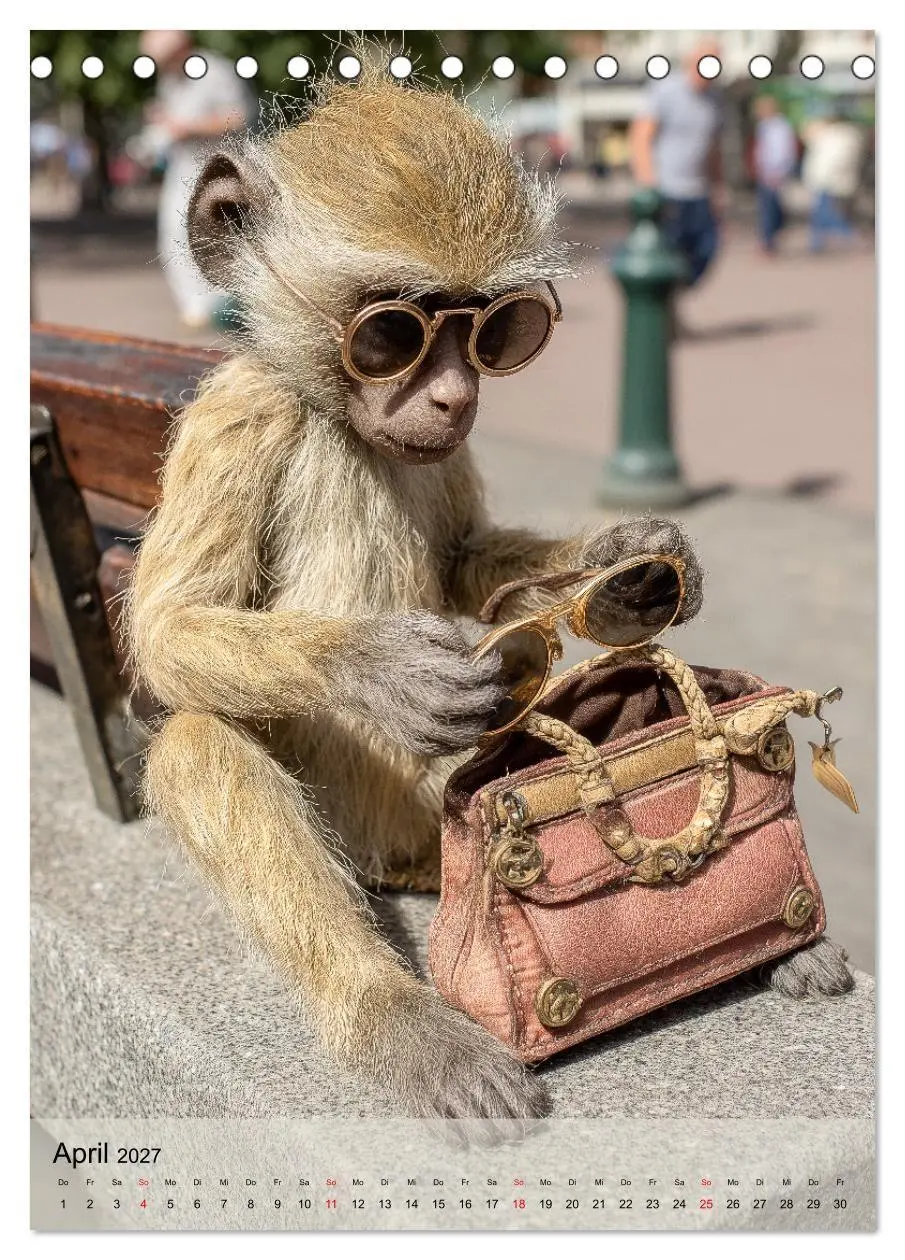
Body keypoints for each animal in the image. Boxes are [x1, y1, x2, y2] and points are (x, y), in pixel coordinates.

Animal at [127, 61, 852, 1125]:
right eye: (391, 333)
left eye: (494, 332)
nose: (451, 395)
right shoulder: (244, 413)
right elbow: (167, 630)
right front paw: (382, 667)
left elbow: (470, 558)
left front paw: (628, 570)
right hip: (389, 826)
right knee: (197, 737)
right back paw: (394, 1014)